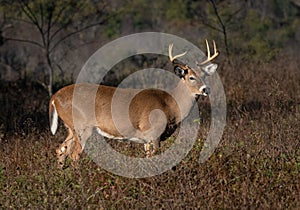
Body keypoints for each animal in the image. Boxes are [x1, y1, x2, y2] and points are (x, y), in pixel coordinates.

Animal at [48, 39, 218, 167]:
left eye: (204, 75)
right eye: (191, 77)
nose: (205, 89)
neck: (171, 105)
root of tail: (54, 97)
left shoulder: (147, 139)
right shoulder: (154, 132)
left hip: (70, 127)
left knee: (60, 149)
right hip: (82, 126)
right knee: (74, 154)